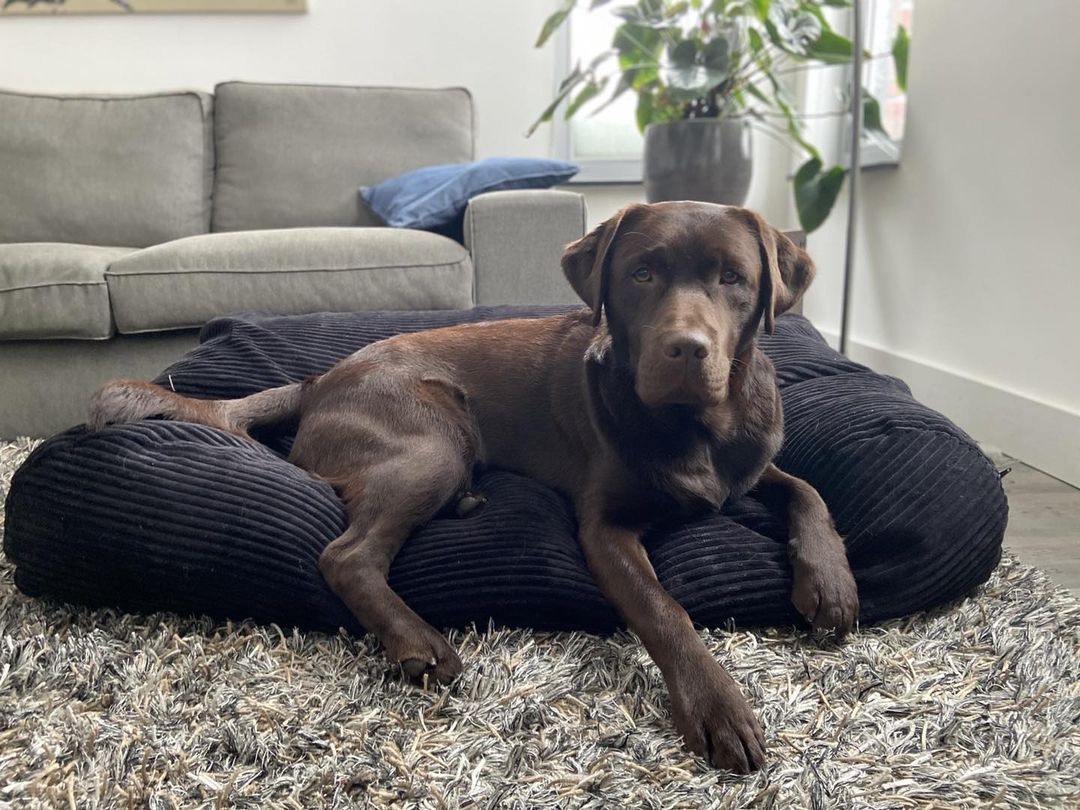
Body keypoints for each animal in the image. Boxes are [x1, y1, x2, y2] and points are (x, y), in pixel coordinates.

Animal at [89, 201, 859, 773]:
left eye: (733, 278)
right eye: (642, 273)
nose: (686, 350)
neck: (695, 425)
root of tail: (318, 380)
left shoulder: (753, 465)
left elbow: (808, 491)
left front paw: (832, 584)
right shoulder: (603, 527)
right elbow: (665, 611)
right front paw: (719, 709)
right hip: (430, 442)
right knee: (348, 555)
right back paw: (417, 642)